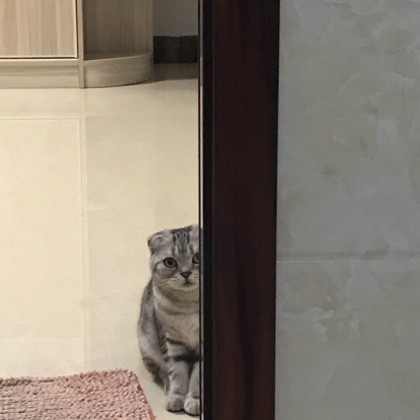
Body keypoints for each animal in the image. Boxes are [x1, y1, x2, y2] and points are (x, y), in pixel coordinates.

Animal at [137, 224, 201, 416]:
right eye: (170, 262)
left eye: (197, 257)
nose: (186, 273)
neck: (188, 305)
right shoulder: (171, 339)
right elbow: (177, 372)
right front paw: (176, 396)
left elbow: (197, 376)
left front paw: (194, 399)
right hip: (147, 343)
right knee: (161, 372)